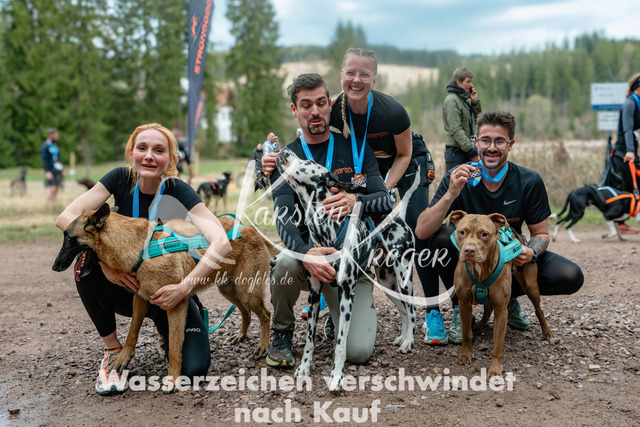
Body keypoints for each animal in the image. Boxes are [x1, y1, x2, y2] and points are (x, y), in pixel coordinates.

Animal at [449, 210, 553, 378]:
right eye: (462, 232)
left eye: (484, 234)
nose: (469, 250)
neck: (480, 269)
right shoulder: (464, 303)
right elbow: (465, 334)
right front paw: (465, 354)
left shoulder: (501, 311)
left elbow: (497, 344)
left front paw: (494, 369)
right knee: (487, 309)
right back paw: (479, 326)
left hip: (531, 286)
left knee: (539, 309)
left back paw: (547, 332)